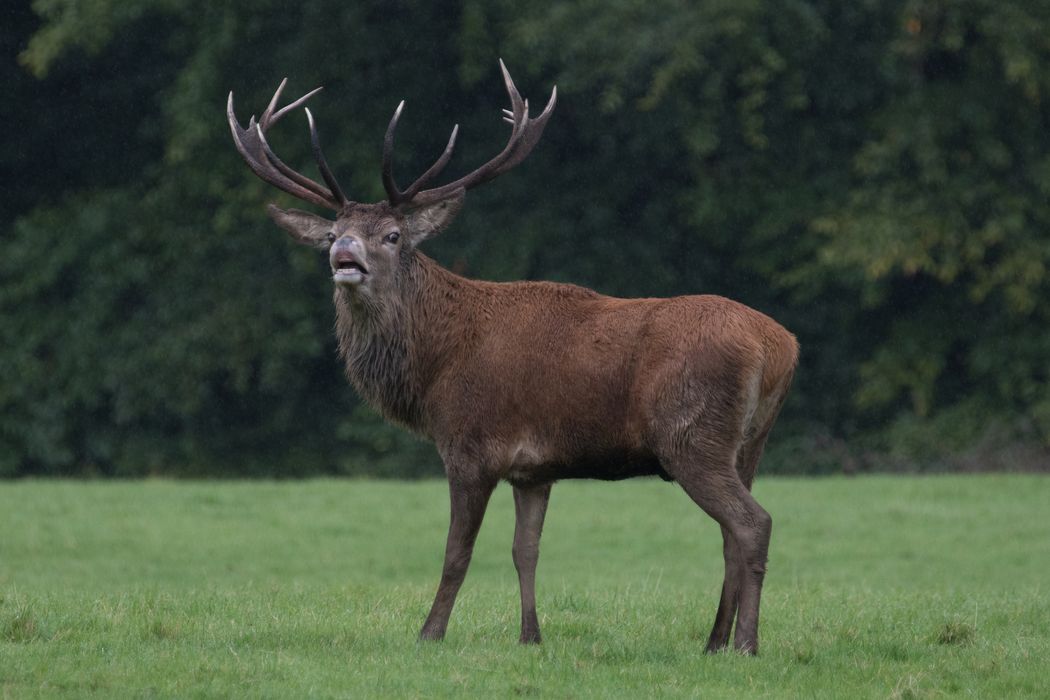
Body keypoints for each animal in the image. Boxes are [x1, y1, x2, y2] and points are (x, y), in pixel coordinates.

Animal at [227, 60, 798, 655]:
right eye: (334, 233)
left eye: (393, 235)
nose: (344, 255)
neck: (433, 368)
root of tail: (779, 344)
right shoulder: (534, 469)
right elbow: (526, 550)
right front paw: (530, 636)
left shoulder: (469, 445)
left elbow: (457, 553)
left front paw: (429, 633)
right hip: (748, 442)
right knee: (732, 533)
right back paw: (714, 641)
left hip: (690, 434)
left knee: (752, 523)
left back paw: (746, 644)